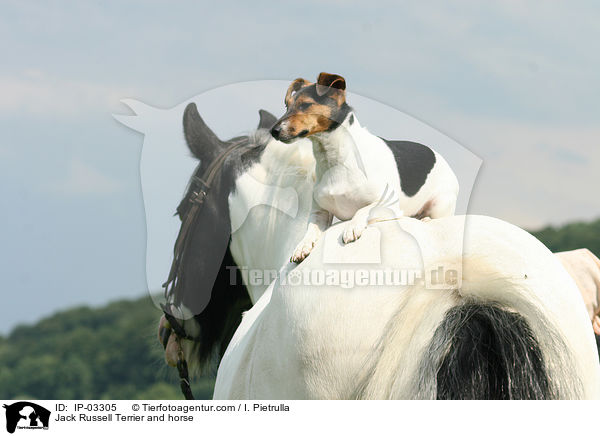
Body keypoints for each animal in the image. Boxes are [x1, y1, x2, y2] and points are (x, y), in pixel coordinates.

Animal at [272, 73, 460, 262]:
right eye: (287, 106)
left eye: (305, 104)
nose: (274, 131)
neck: (335, 159)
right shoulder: (320, 212)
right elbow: (310, 229)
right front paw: (302, 245)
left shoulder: (388, 205)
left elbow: (363, 210)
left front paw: (352, 227)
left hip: (440, 203)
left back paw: (426, 219)